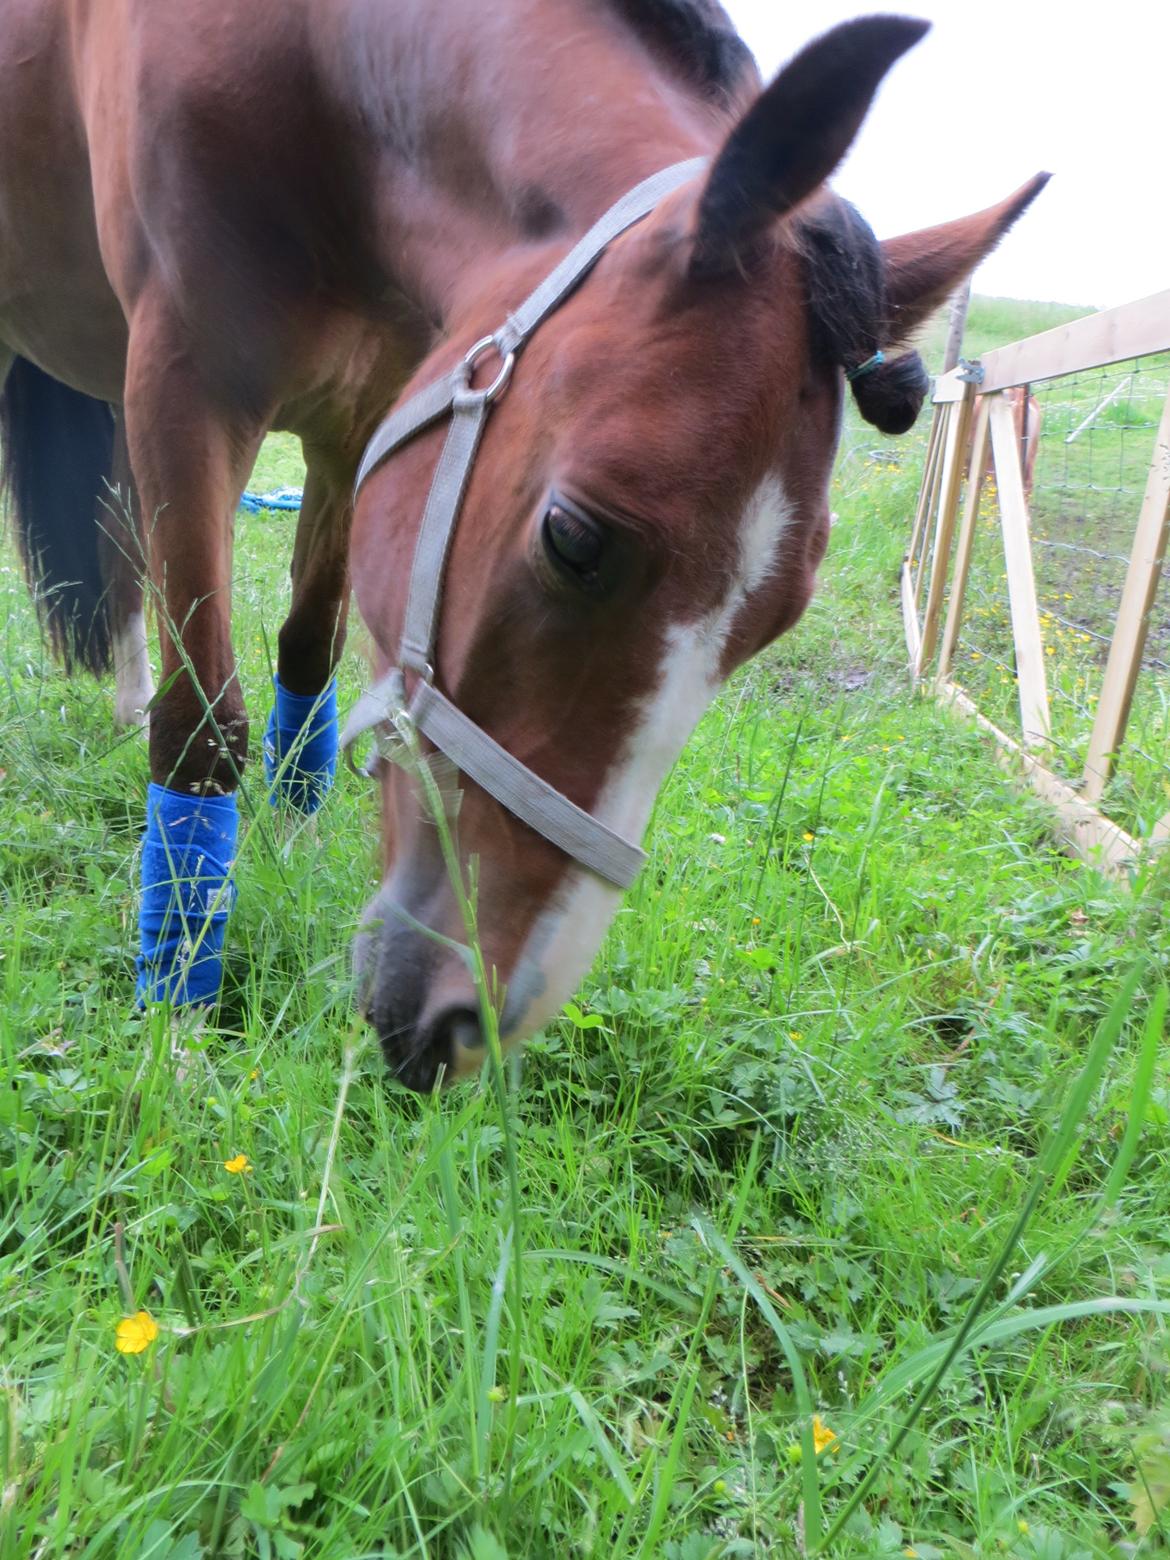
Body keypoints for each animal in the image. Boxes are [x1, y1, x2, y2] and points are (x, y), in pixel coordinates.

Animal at [0, 1, 1046, 1090]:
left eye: (778, 619)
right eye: (575, 539)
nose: (471, 1024)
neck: (317, 64)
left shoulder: (367, 417)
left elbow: (307, 652)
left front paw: (291, 840)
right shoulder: (184, 386)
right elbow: (203, 726)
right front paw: (178, 1018)